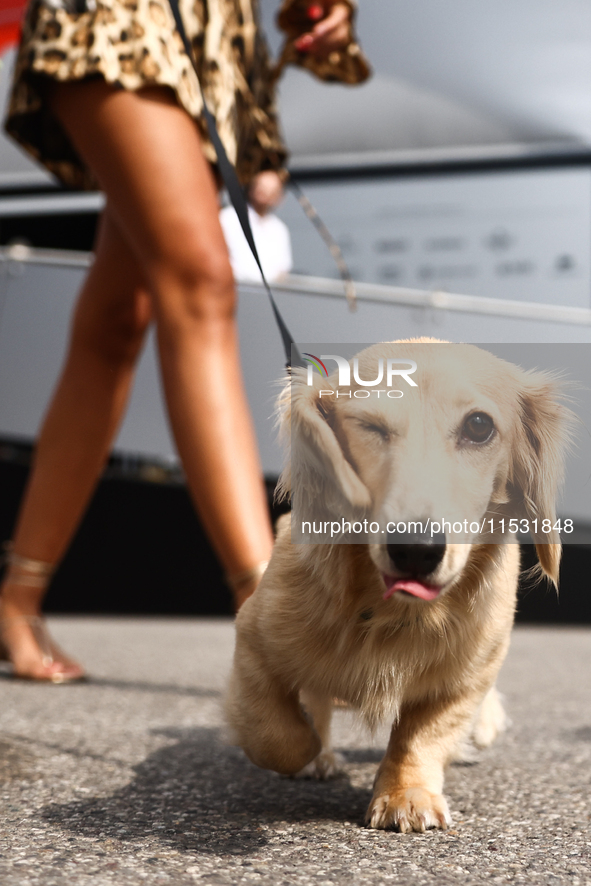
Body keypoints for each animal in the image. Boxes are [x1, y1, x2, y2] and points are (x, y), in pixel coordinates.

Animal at [228, 340, 572, 832]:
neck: (391, 611)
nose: (415, 550)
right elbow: (277, 734)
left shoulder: (466, 678)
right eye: (370, 426)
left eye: (479, 426)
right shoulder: (253, 642)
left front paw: (406, 793)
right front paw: (311, 751)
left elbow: (422, 734)